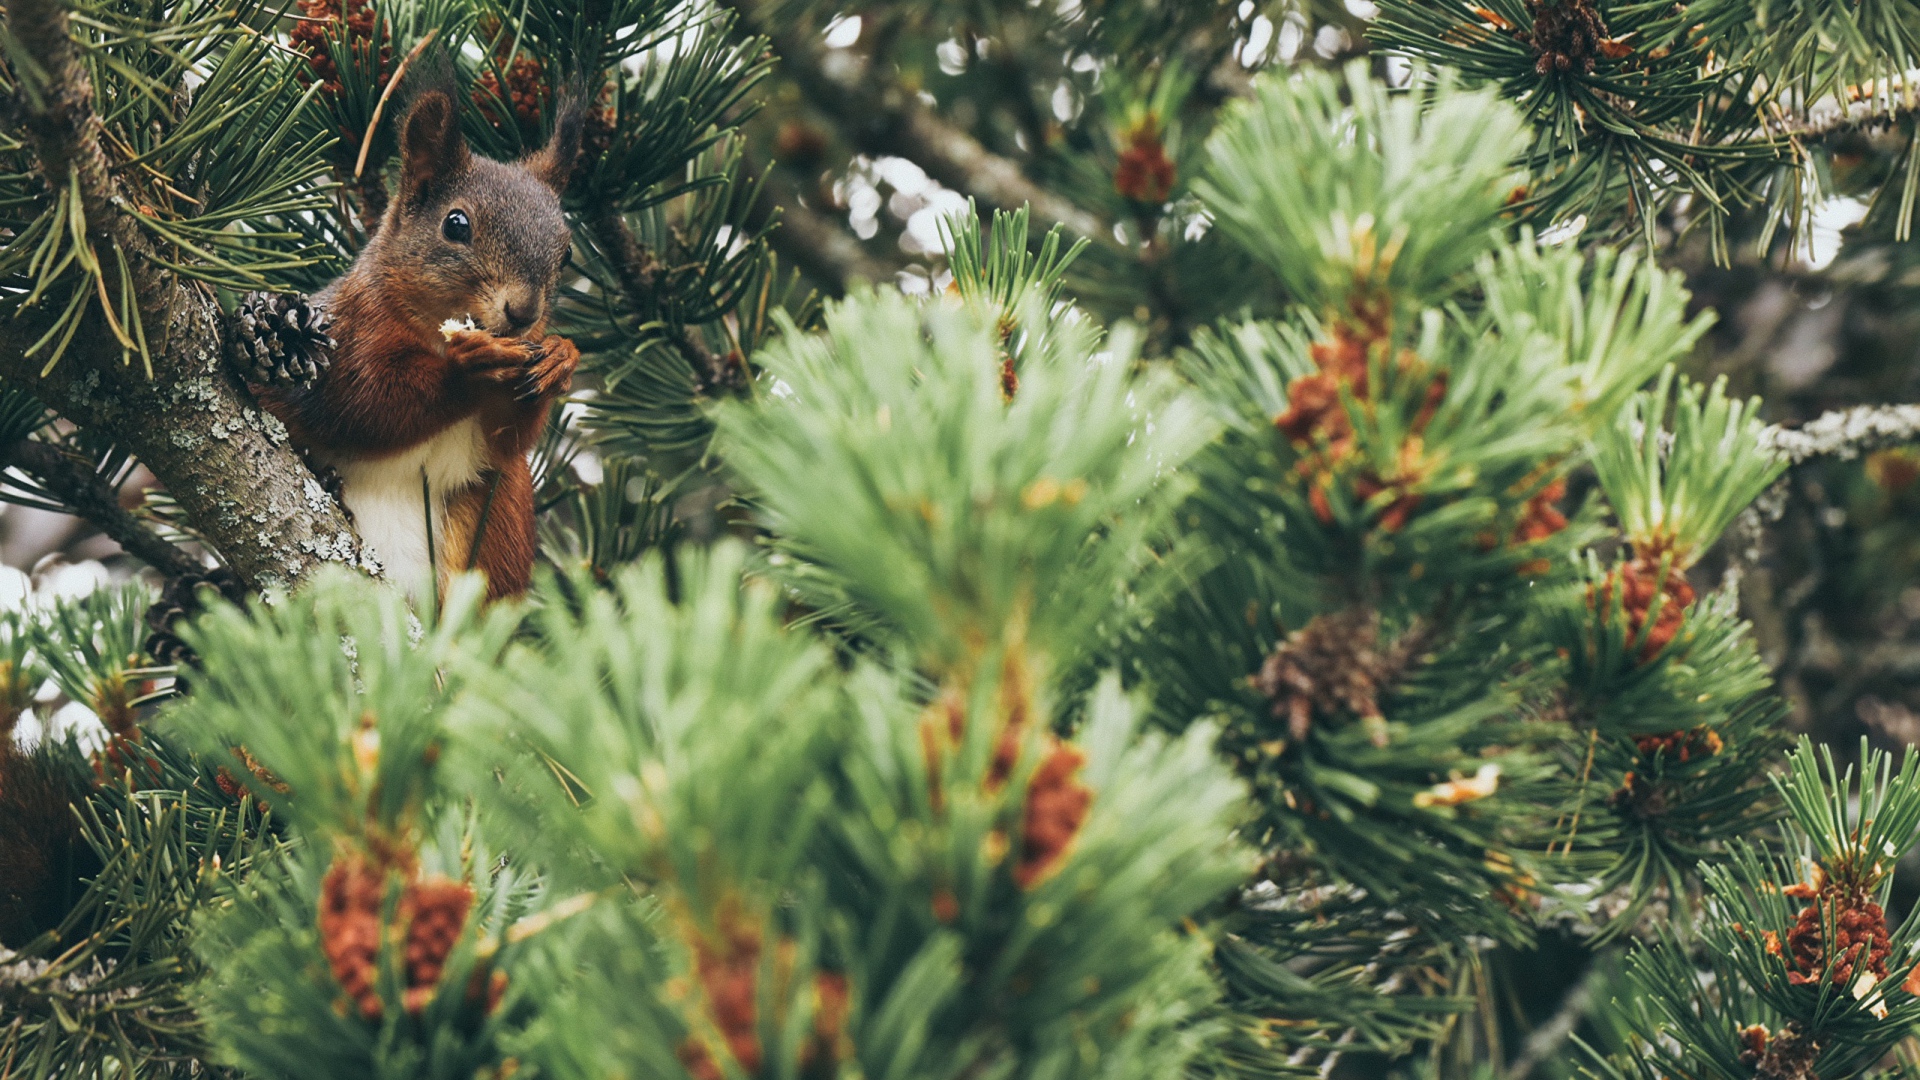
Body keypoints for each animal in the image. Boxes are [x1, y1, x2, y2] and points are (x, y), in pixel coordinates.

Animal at [255, 89, 583, 599]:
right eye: (456, 224)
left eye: (566, 252)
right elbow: (366, 404)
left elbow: (507, 439)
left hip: (497, 517)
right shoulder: (348, 336)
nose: (524, 313)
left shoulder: (494, 441)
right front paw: (469, 368)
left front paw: (559, 360)